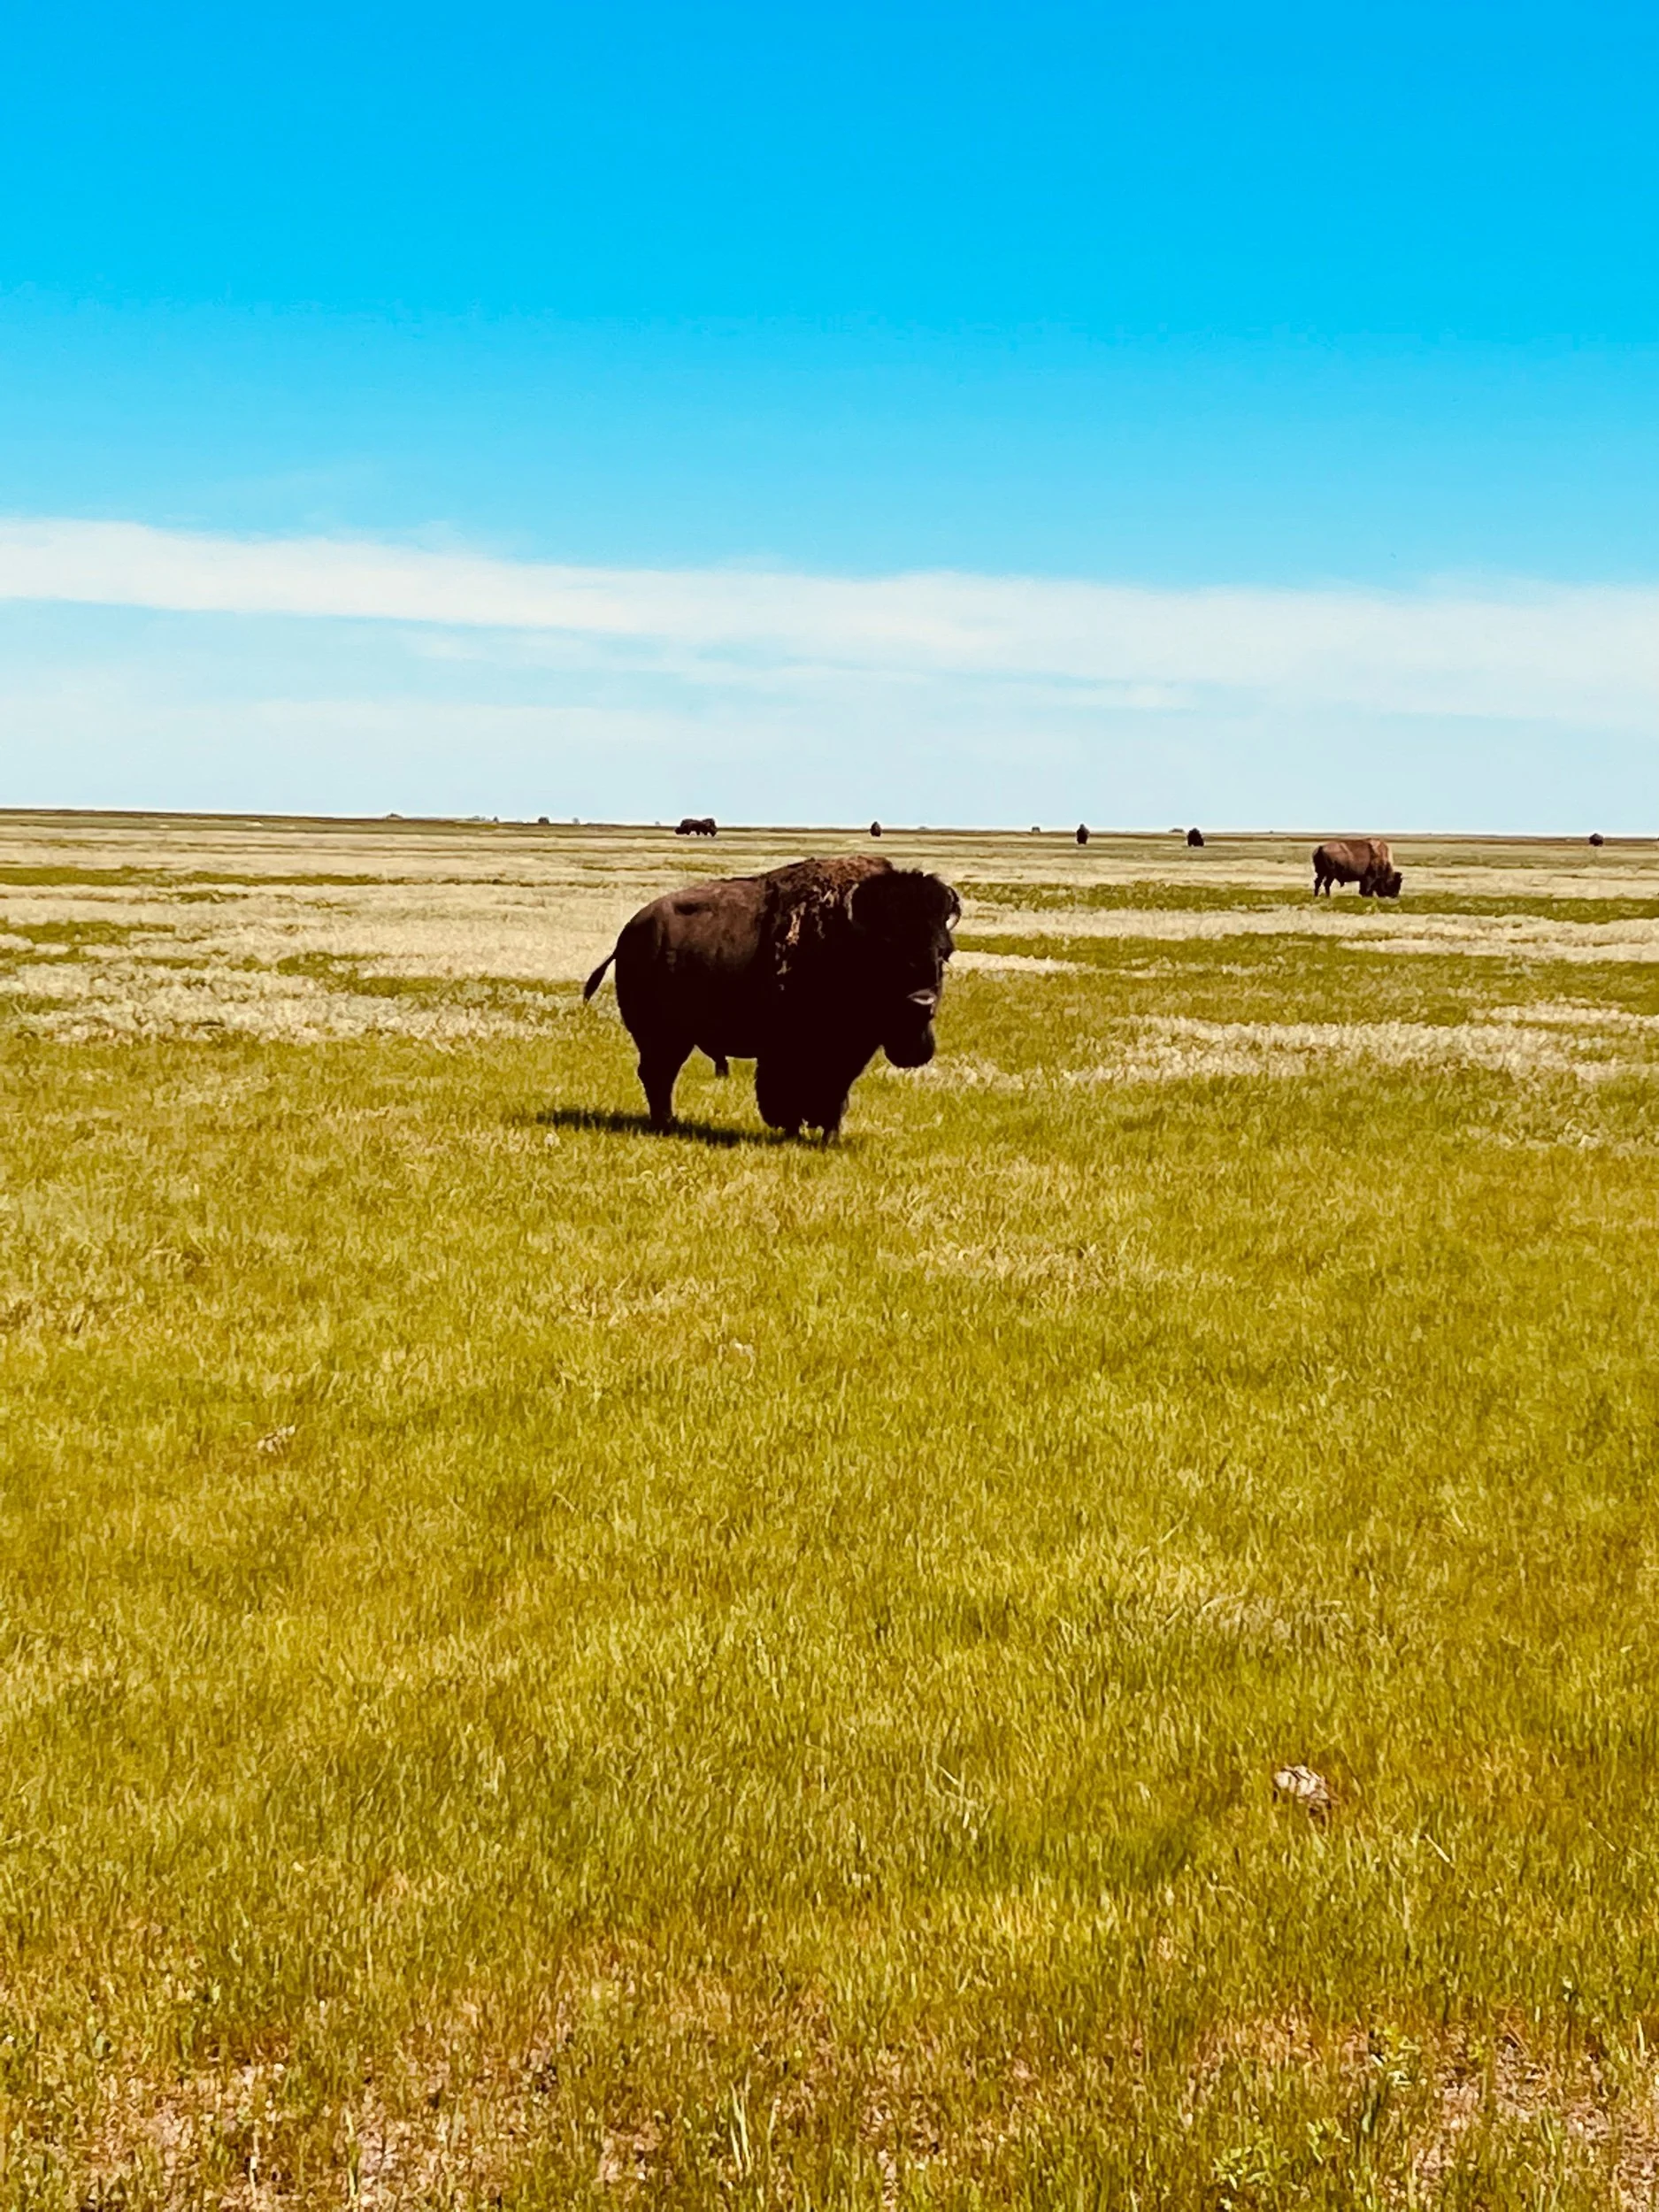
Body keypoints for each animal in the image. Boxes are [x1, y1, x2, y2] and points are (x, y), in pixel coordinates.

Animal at [584, 856, 960, 1136]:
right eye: (887, 952)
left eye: (944, 953)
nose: (921, 1002)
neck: (847, 940)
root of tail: (628, 935)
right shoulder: (787, 1052)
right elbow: (787, 1092)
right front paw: (793, 1131)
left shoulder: (848, 1053)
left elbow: (835, 1094)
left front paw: (829, 1137)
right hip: (662, 1037)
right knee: (657, 1075)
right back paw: (665, 1123)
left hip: (675, 1038)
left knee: (659, 1074)